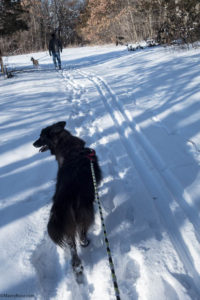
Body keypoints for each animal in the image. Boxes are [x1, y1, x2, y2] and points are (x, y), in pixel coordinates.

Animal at [33, 122, 101, 276]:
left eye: (41, 137)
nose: (33, 144)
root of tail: (65, 196)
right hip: (84, 212)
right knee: (81, 235)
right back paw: (85, 244)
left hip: (67, 221)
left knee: (71, 244)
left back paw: (77, 265)